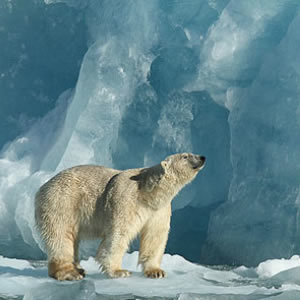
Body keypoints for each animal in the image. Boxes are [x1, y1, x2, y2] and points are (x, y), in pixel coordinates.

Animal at [34, 154, 204, 280]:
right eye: (185, 156)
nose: (203, 157)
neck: (148, 192)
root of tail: (42, 187)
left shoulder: (159, 210)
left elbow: (155, 236)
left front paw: (156, 271)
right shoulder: (126, 199)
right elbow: (119, 233)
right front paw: (119, 271)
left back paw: (79, 269)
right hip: (61, 203)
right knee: (61, 237)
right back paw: (70, 273)